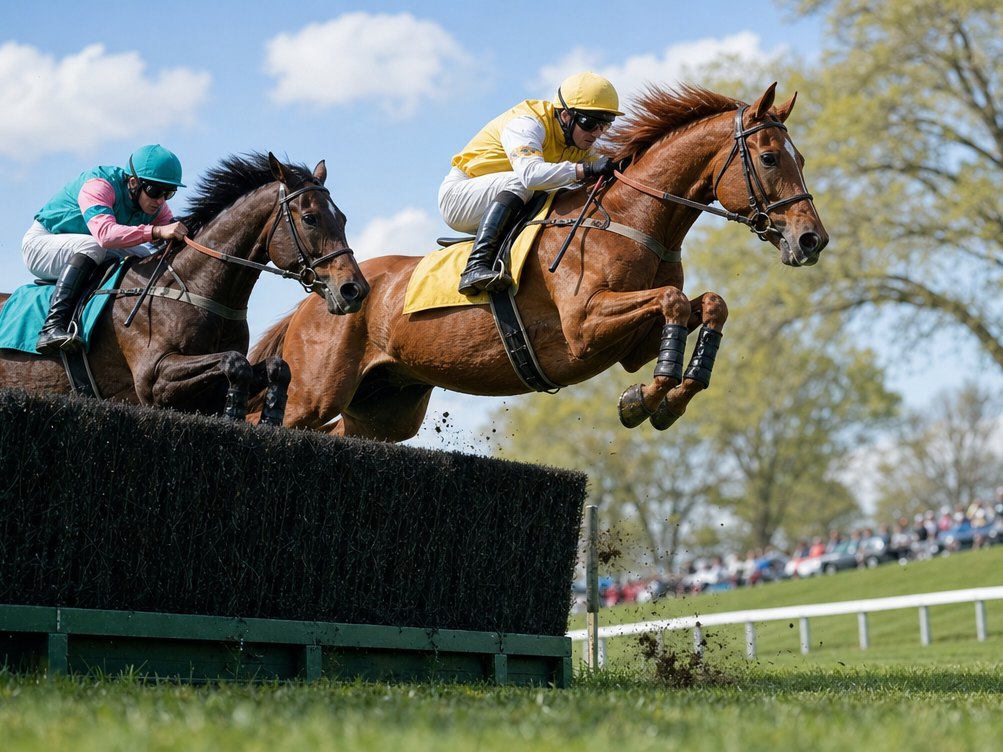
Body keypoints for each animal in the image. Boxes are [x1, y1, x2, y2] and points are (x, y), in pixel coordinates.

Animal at [0, 152, 369, 423]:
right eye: (310, 218)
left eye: (343, 218)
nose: (354, 289)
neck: (193, 287)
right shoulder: (154, 379)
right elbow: (235, 362)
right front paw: (233, 410)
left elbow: (276, 367)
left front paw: (269, 416)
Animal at [247, 83, 828, 440]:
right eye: (770, 158)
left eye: (800, 158)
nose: (811, 240)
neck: (630, 217)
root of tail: (318, 296)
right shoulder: (584, 326)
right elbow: (673, 301)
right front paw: (648, 396)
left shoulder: (629, 344)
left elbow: (706, 305)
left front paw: (661, 398)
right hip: (312, 393)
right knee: (262, 416)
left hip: (384, 408)